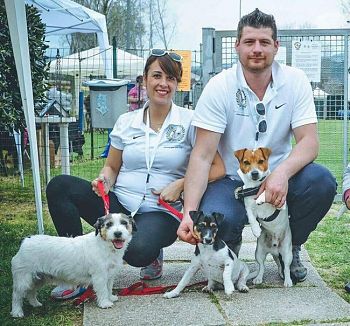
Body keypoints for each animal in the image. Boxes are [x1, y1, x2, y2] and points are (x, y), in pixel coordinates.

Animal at [235, 148, 292, 288]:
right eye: (246, 162)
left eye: (261, 161)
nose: (255, 173)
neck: (255, 187)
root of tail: (275, 249)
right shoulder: (248, 208)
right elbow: (251, 217)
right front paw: (256, 230)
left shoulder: (280, 204)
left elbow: (267, 190)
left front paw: (262, 197)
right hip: (259, 252)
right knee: (262, 266)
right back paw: (258, 278)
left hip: (287, 254)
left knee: (286, 267)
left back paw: (287, 280)